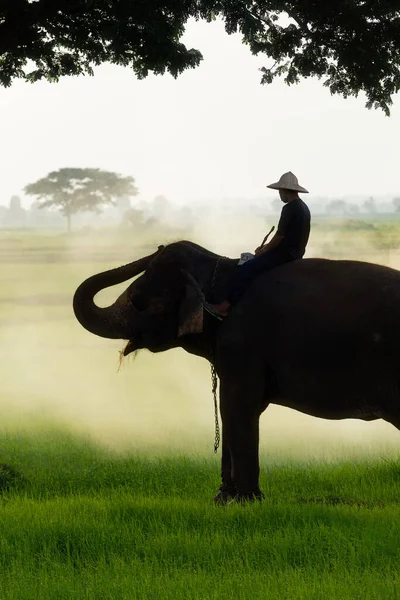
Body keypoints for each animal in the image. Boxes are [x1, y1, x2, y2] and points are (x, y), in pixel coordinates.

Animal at [73, 241, 400, 504]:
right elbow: (230, 409)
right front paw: (222, 499)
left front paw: (247, 501)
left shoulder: (242, 345)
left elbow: (237, 406)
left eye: (140, 300)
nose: (158, 246)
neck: (220, 267)